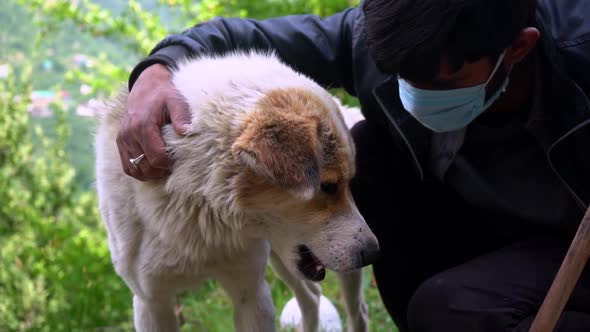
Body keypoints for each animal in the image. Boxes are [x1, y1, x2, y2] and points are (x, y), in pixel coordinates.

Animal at [97, 52, 382, 332]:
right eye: (329, 186)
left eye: (347, 184)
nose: (373, 252)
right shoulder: (151, 302)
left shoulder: (252, 292)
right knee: (312, 296)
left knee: (357, 312)